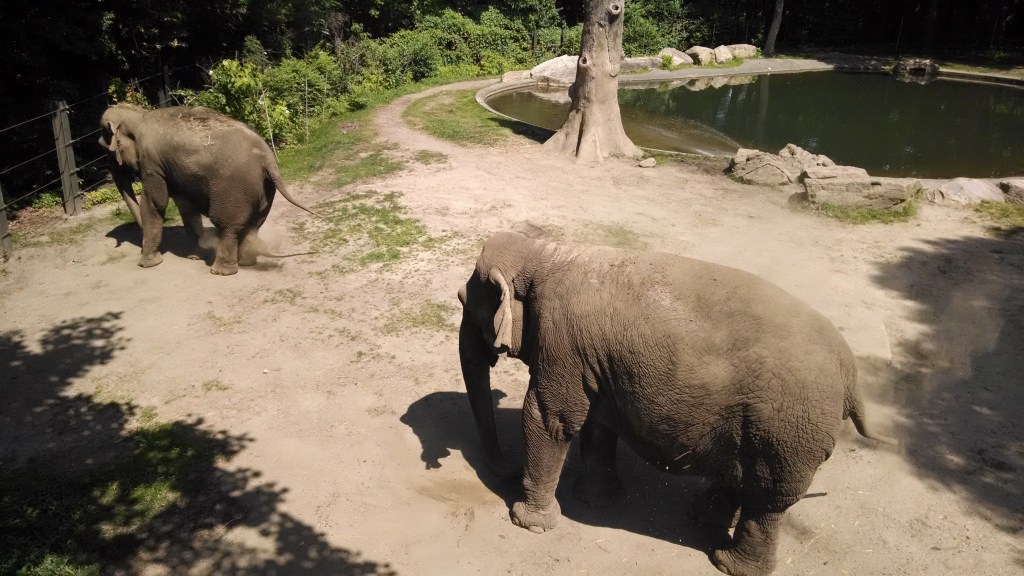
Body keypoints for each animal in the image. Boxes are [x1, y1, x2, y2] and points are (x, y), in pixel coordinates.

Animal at [98, 104, 318, 275]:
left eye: (105, 148)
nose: (142, 248)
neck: (139, 115)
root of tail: (268, 158)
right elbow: (185, 206)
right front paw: (194, 256)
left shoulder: (151, 161)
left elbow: (155, 202)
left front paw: (147, 264)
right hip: (263, 189)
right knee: (253, 224)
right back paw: (246, 261)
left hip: (234, 189)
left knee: (227, 225)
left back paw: (220, 271)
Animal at [457, 231, 889, 576]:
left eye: (465, 302)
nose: (508, 464)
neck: (547, 249)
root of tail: (849, 372)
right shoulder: (596, 360)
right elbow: (597, 423)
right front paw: (597, 500)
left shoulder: (563, 342)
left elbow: (551, 419)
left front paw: (529, 524)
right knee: (740, 476)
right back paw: (702, 518)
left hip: (787, 432)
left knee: (767, 500)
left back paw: (727, 563)